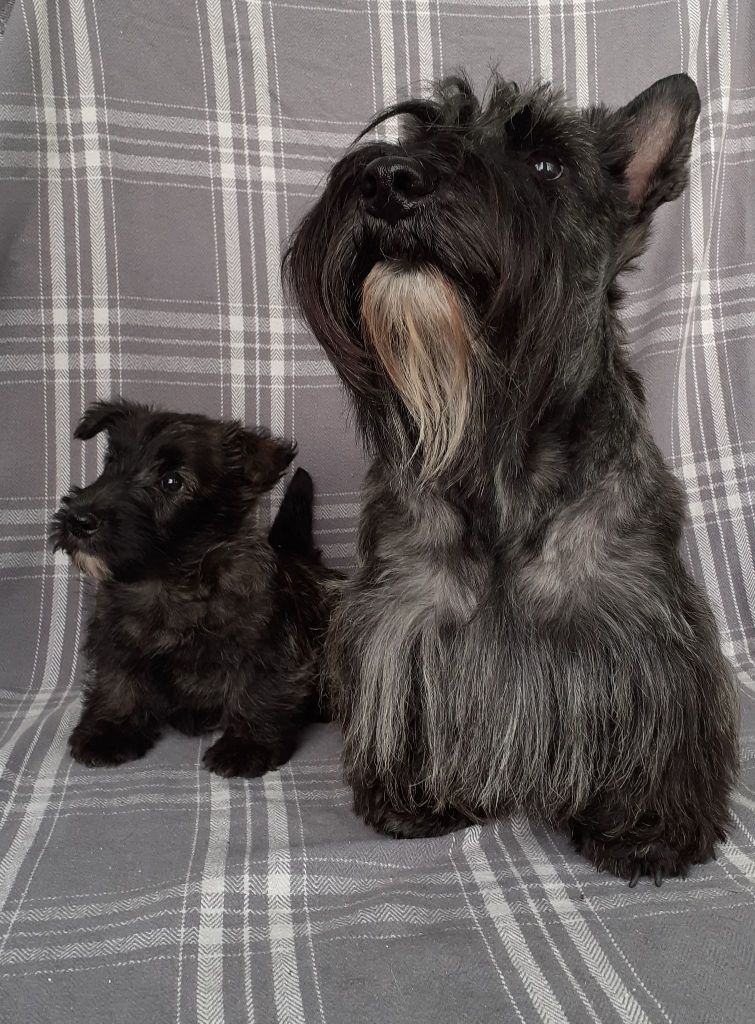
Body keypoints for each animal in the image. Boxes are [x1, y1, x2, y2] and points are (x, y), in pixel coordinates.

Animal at [50, 399, 338, 774]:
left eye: (172, 482)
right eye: (111, 462)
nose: (79, 520)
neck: (171, 580)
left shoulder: (269, 646)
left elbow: (259, 691)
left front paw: (246, 746)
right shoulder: (117, 640)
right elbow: (117, 684)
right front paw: (109, 732)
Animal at [284, 75, 737, 884]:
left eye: (547, 165)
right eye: (420, 135)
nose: (389, 180)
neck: (499, 446)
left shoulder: (644, 632)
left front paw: (648, 829)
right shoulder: (406, 612)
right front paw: (413, 795)